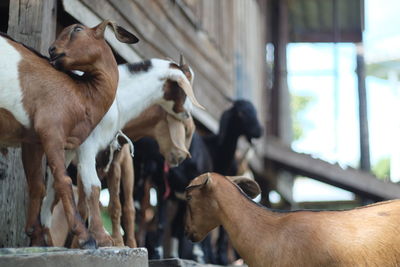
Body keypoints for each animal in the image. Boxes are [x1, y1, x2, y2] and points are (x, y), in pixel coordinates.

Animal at [0, 20, 139, 249]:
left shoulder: (32, 140)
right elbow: (63, 181)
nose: (51, 50)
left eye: (77, 29)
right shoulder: (51, 131)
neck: (81, 94)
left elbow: (37, 184)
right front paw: (86, 237)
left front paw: (36, 237)